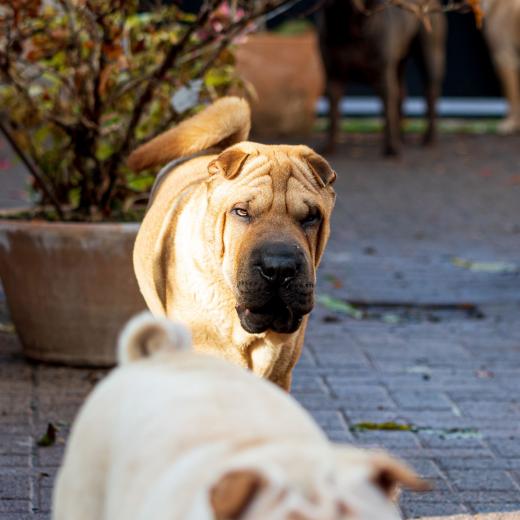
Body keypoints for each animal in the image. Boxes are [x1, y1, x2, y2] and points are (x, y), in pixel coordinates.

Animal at [317, 0, 446, 155]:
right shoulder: (333, 77)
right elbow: (333, 115)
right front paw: (329, 147)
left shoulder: (384, 77)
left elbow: (388, 113)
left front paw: (392, 148)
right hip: (400, 64)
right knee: (401, 94)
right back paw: (401, 137)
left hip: (430, 55)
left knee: (430, 94)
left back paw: (429, 139)